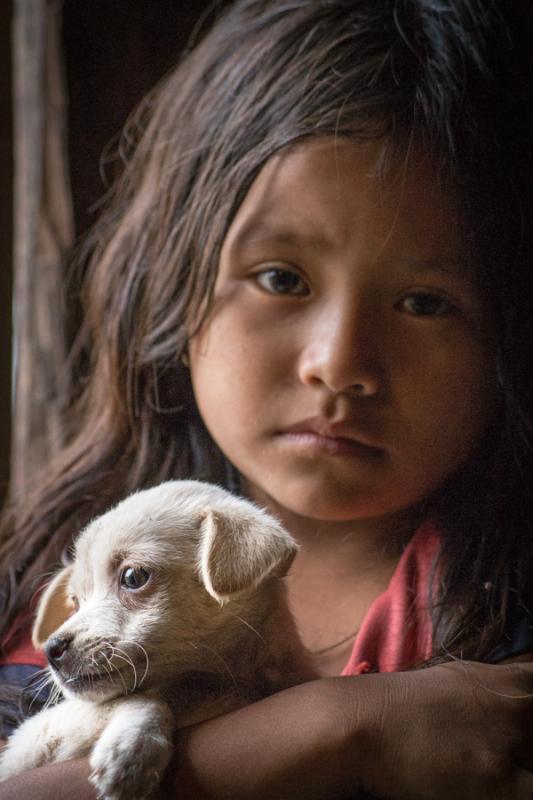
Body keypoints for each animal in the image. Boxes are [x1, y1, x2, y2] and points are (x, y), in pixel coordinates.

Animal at [0, 482, 312, 800]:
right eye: (75, 602)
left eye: (133, 576)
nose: (51, 650)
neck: (205, 686)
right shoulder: (40, 732)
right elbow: (140, 698)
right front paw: (131, 751)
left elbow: (141, 698)